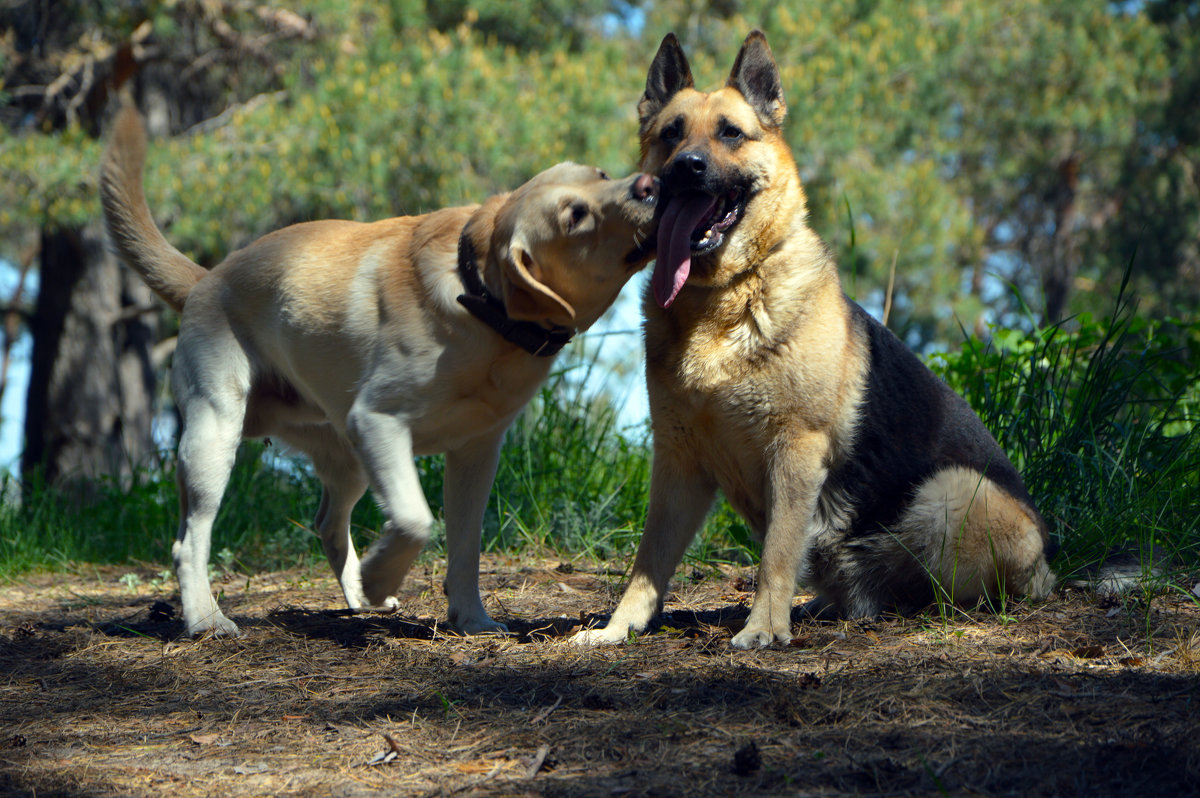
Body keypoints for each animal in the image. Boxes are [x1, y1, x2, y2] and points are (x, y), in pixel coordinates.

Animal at [104, 105, 662, 638]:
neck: (479, 299)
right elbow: (416, 519)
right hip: (214, 438)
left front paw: (471, 619)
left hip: (345, 458)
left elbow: (465, 547)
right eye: (575, 216)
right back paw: (207, 618)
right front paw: (380, 576)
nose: (650, 184)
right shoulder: (378, 421)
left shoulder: (475, 452)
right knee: (189, 542)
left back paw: (355, 595)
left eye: (601, 173)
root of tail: (205, 278)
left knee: (328, 524)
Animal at [576, 34, 1056, 652]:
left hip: (949, 492)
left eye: (730, 133)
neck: (727, 295)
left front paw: (763, 627)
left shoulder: (795, 451)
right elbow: (649, 560)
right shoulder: (678, 463)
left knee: (934, 588)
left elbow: (777, 553)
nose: (686, 167)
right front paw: (620, 628)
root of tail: (1048, 566)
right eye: (671, 133)